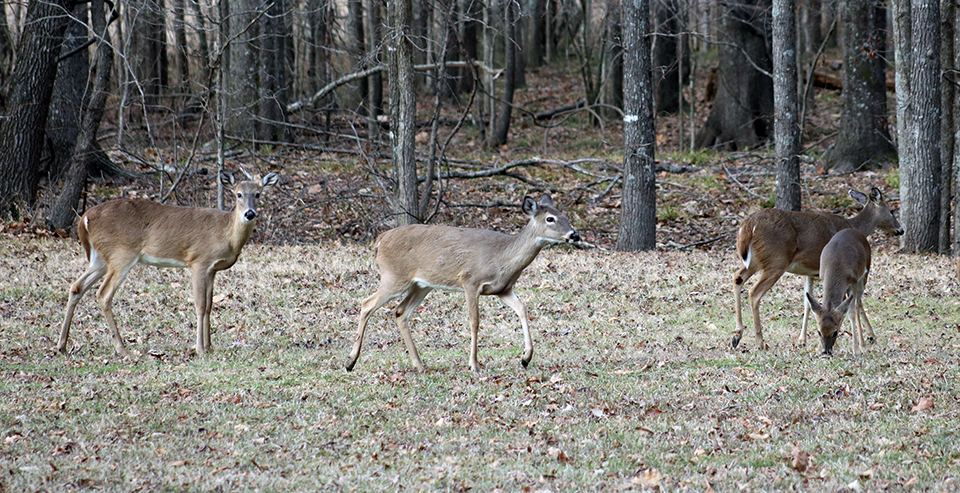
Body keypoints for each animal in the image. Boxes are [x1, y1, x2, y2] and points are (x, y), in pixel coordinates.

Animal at [57, 170, 280, 358]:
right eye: (238, 194)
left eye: (258, 194)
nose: (250, 214)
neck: (227, 234)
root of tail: (85, 218)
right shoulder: (198, 260)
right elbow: (200, 305)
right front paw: (200, 349)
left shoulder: (212, 269)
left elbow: (210, 305)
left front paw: (209, 346)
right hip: (122, 253)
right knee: (103, 294)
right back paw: (122, 349)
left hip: (101, 258)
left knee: (77, 286)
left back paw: (62, 346)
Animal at [346, 194, 580, 372]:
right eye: (550, 219)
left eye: (565, 215)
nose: (575, 234)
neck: (502, 258)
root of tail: (380, 240)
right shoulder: (470, 281)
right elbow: (474, 322)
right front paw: (474, 364)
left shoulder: (503, 289)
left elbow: (523, 309)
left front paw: (526, 357)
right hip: (394, 276)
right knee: (367, 304)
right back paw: (350, 362)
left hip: (421, 285)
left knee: (400, 312)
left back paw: (419, 365)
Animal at [732, 187, 902, 351]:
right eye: (891, 211)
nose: (901, 230)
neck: (854, 226)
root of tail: (748, 225)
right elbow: (855, 303)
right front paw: (870, 336)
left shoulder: (809, 271)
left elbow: (808, 302)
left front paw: (802, 340)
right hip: (776, 260)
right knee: (754, 292)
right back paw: (759, 342)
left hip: (753, 260)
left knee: (737, 277)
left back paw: (737, 335)